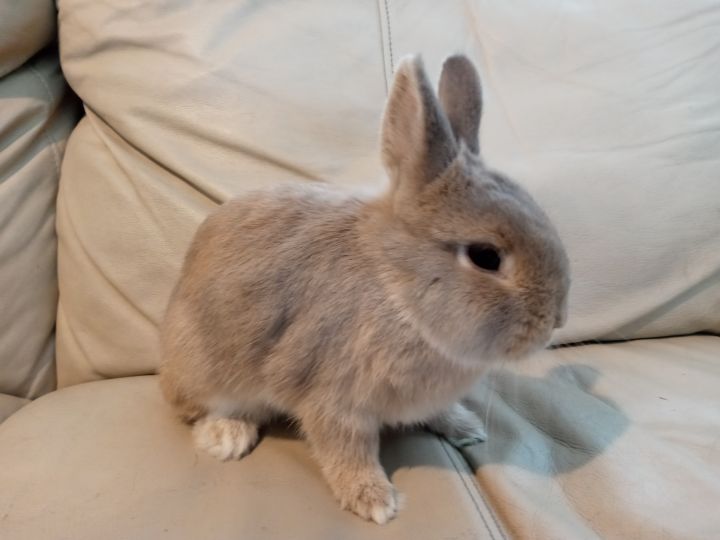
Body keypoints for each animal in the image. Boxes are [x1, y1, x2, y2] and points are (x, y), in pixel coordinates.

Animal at [159, 53, 570, 525]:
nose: (557, 320)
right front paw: (375, 501)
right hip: (204, 368)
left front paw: (467, 429)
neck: (398, 290)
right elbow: (347, 449)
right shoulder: (333, 398)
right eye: (485, 256)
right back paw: (227, 436)